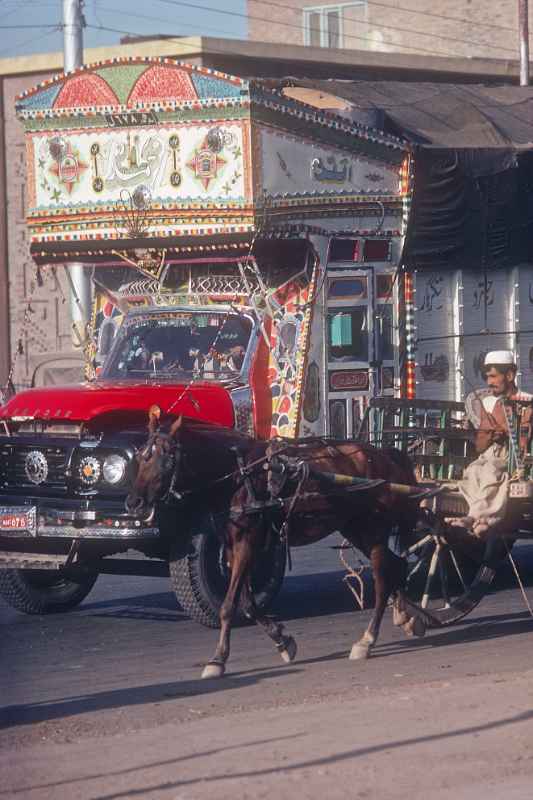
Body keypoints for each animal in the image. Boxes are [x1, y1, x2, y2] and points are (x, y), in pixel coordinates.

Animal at [125, 410, 428, 680]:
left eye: (166, 459)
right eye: (141, 456)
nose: (134, 502)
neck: (237, 477)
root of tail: (385, 454)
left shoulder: (247, 542)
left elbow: (228, 605)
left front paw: (218, 660)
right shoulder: (233, 546)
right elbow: (247, 602)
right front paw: (283, 640)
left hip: (372, 528)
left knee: (382, 577)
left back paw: (367, 640)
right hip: (354, 528)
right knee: (394, 566)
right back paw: (410, 616)